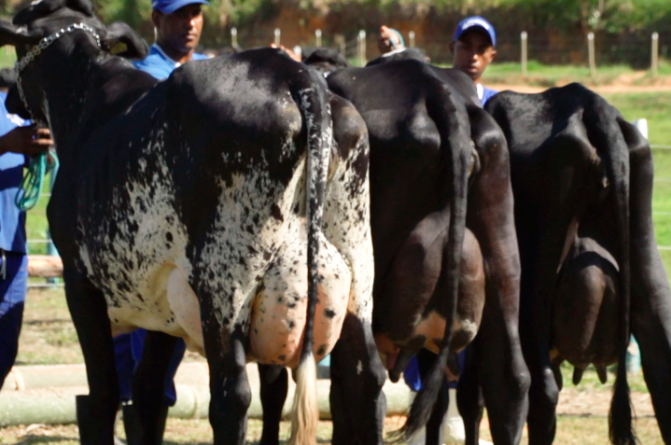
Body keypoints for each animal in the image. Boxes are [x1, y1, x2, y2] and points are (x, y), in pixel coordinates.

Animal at [0, 0, 386, 444]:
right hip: (357, 275)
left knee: (232, 395)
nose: (10, 97)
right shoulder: (159, 295)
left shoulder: (80, 282)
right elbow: (148, 393)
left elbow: (103, 396)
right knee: (366, 377)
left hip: (224, 285)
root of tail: (295, 74)